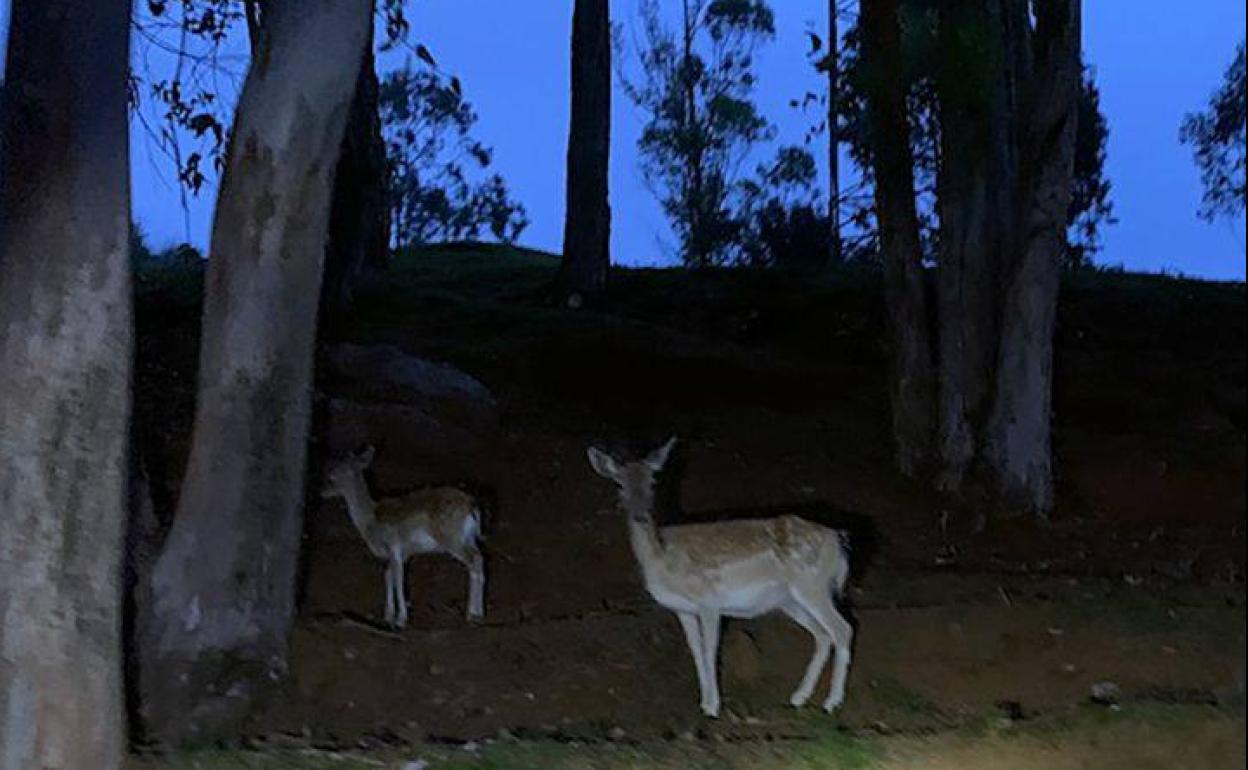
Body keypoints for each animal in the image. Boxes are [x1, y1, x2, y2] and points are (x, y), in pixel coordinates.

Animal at [319, 444, 484, 623]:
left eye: (334, 473)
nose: (322, 491)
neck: (370, 520)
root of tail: (472, 506)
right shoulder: (402, 553)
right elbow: (388, 576)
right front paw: (388, 614)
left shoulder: (394, 547)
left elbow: (398, 579)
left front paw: (401, 618)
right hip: (470, 538)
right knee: (480, 558)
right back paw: (479, 612)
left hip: (452, 538)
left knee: (473, 561)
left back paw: (471, 613)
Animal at [589, 441, 853, 718]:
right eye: (619, 483)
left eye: (653, 481)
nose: (639, 515)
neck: (662, 560)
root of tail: (838, 544)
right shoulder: (682, 609)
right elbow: (695, 649)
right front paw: (704, 702)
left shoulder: (709, 601)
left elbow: (710, 649)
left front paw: (713, 706)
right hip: (789, 601)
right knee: (822, 635)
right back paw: (799, 697)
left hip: (812, 586)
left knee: (842, 629)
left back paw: (832, 702)